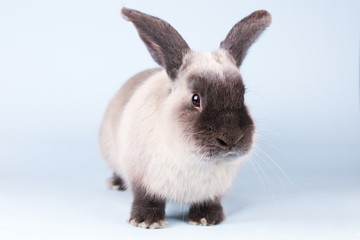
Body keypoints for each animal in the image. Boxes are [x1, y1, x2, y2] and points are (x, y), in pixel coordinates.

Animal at [98, 7, 270, 229]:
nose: (231, 138)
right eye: (195, 99)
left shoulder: (212, 192)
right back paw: (116, 184)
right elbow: (146, 199)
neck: (192, 156)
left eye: (242, 96)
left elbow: (208, 202)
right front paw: (146, 222)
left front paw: (207, 219)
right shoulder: (142, 179)